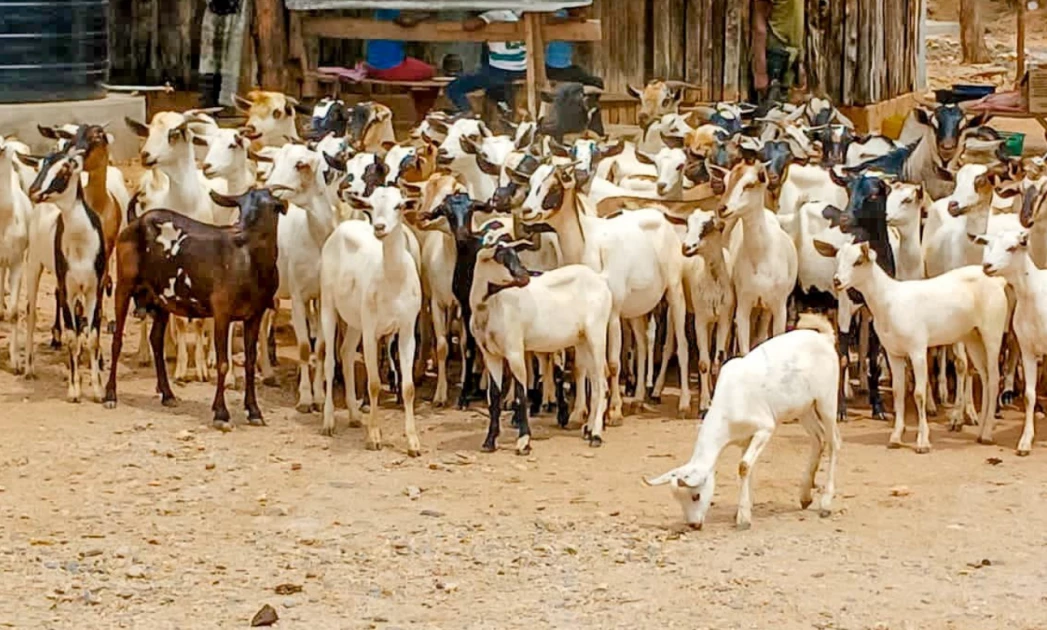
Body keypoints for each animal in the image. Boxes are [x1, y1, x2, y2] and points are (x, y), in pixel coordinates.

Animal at [644, 313, 840, 530]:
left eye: (696, 496)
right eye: (679, 500)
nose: (694, 525)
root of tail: (825, 338)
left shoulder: (764, 428)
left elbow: (744, 465)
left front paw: (743, 518)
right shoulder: (746, 438)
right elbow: (749, 467)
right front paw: (746, 507)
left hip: (827, 400)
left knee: (834, 442)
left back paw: (826, 503)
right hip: (804, 408)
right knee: (818, 438)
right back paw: (805, 495)